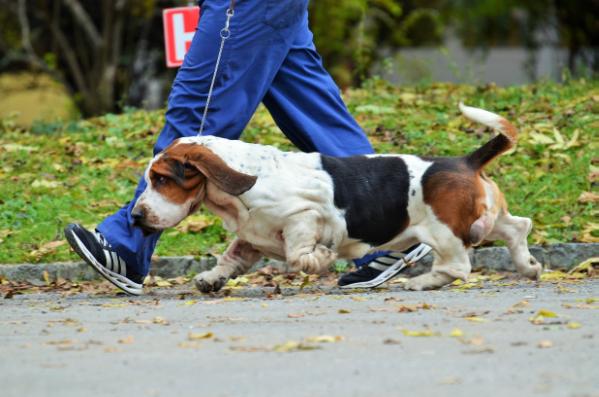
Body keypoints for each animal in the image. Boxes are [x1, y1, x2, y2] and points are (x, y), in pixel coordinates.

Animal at [131, 103, 544, 292]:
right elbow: (231, 257)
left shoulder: (305, 215)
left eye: (162, 179)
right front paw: (211, 279)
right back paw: (528, 267)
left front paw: (321, 259)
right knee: (518, 228)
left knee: (458, 266)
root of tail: (467, 160)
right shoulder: (251, 236)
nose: (135, 217)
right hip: (488, 219)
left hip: (444, 232)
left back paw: (421, 282)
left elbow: (298, 253)